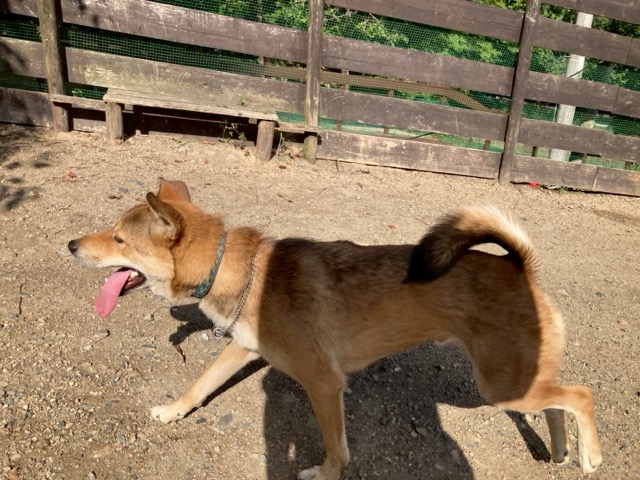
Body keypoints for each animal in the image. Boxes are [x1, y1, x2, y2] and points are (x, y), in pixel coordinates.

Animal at [68, 178, 602, 479]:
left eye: (119, 238)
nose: (71, 244)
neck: (236, 270)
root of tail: (519, 265)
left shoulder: (323, 384)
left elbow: (335, 449)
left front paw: (324, 475)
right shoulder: (242, 349)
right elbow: (199, 385)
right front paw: (172, 412)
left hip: (499, 385)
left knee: (579, 395)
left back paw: (590, 457)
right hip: (515, 381)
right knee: (556, 404)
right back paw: (559, 453)